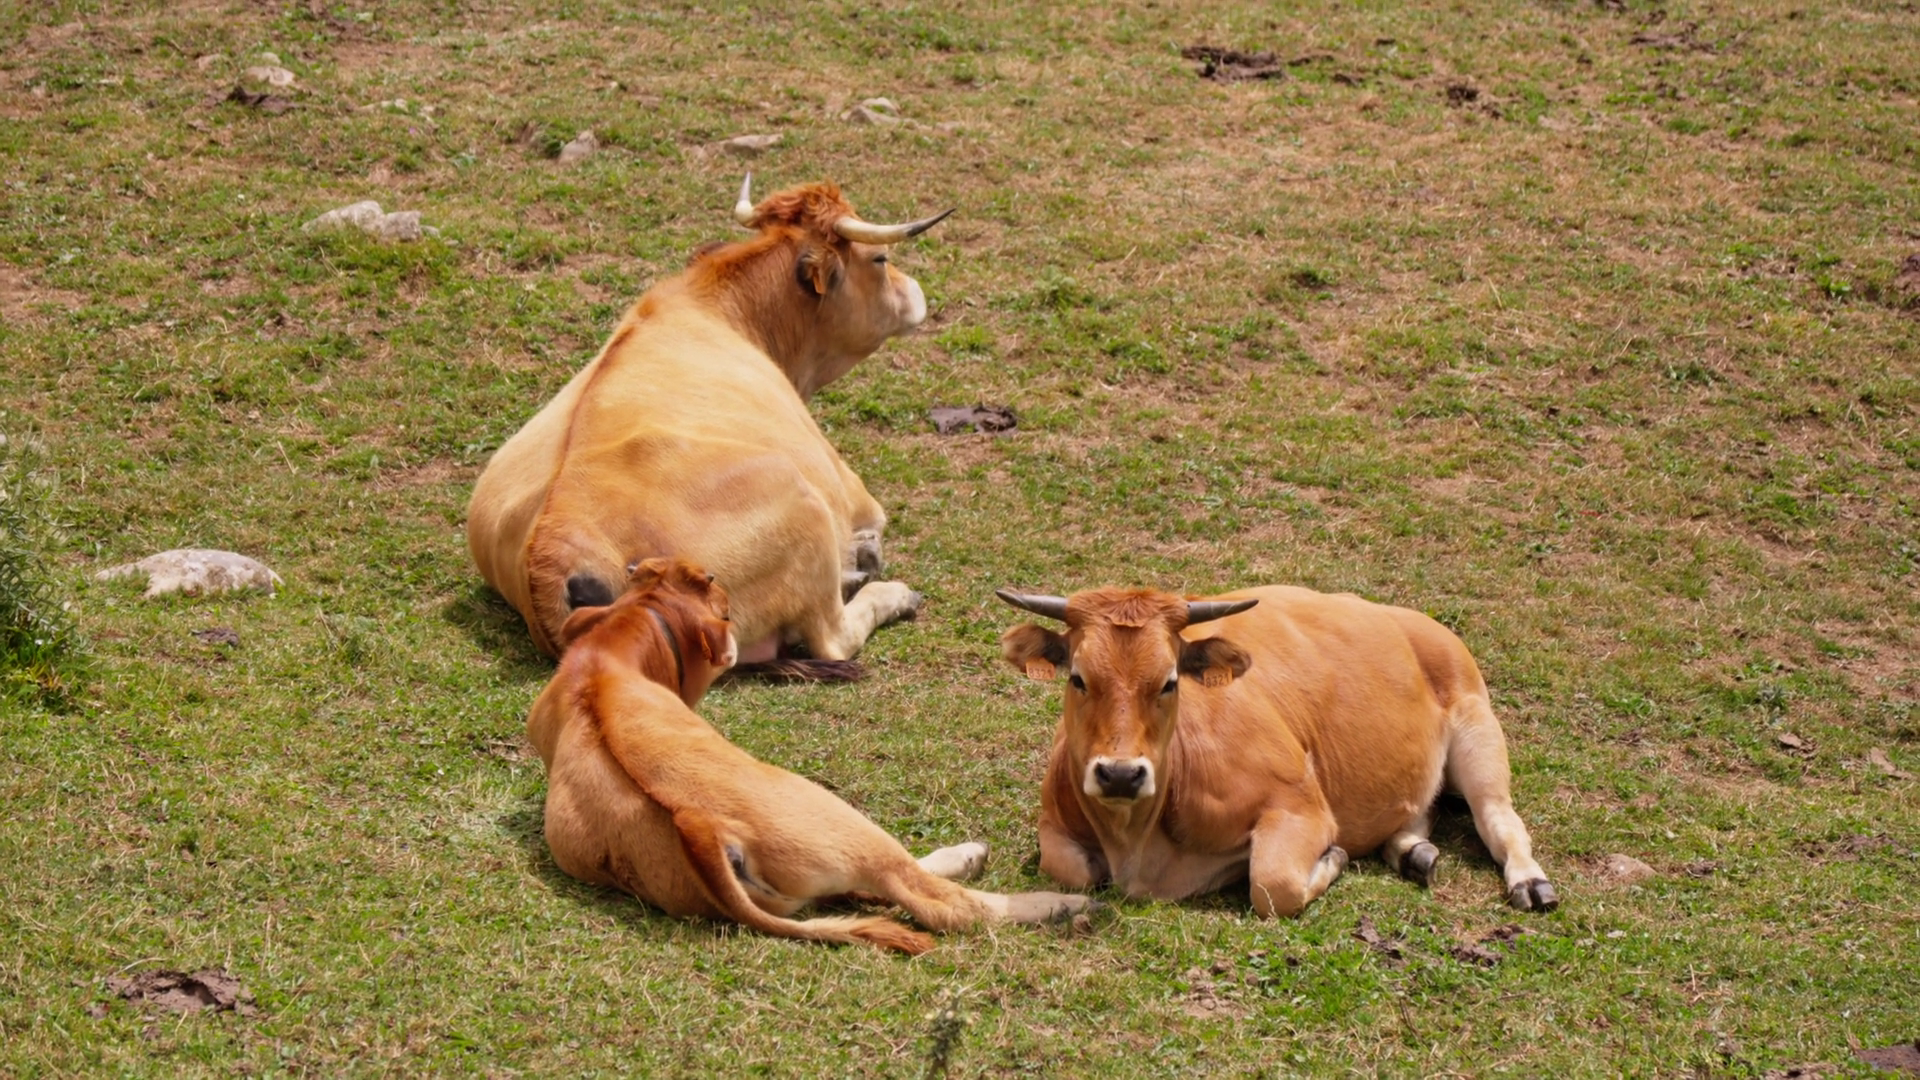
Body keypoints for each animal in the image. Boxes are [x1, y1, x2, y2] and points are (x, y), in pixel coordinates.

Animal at [468, 176, 947, 667]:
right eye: (880, 259)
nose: (916, 291)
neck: (723, 308)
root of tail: (553, 553)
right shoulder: (854, 497)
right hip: (805, 509)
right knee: (832, 637)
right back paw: (891, 592)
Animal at [527, 556, 1098, 954]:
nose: (714, 576)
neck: (607, 658)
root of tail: (701, 827)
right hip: (837, 818)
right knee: (933, 899)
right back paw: (1053, 901)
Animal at [996, 585, 1558, 917]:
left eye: (1170, 682)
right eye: (1078, 678)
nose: (1119, 774)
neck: (1133, 842)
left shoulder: (1301, 806)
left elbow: (1272, 885)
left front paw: (1331, 859)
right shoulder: (1054, 825)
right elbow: (1071, 868)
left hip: (1479, 731)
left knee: (1500, 817)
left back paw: (1530, 882)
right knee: (1417, 809)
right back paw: (1412, 853)